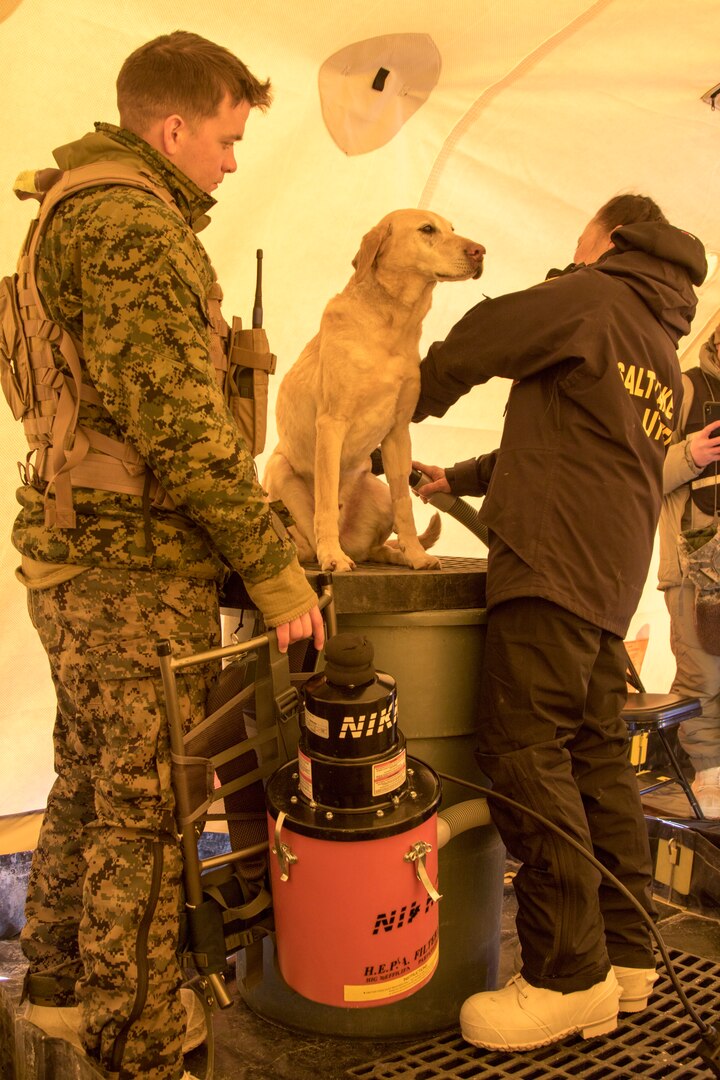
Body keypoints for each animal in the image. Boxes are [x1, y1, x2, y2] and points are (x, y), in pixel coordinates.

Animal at [263, 205, 483, 570]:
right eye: (427, 229)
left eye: (453, 229)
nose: (480, 252)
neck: (392, 324)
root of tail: (352, 543)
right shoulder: (332, 424)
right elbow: (325, 502)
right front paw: (331, 556)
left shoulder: (398, 433)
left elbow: (405, 505)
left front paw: (416, 554)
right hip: (278, 471)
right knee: (306, 540)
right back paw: (317, 550)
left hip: (376, 490)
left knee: (376, 546)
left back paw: (393, 553)